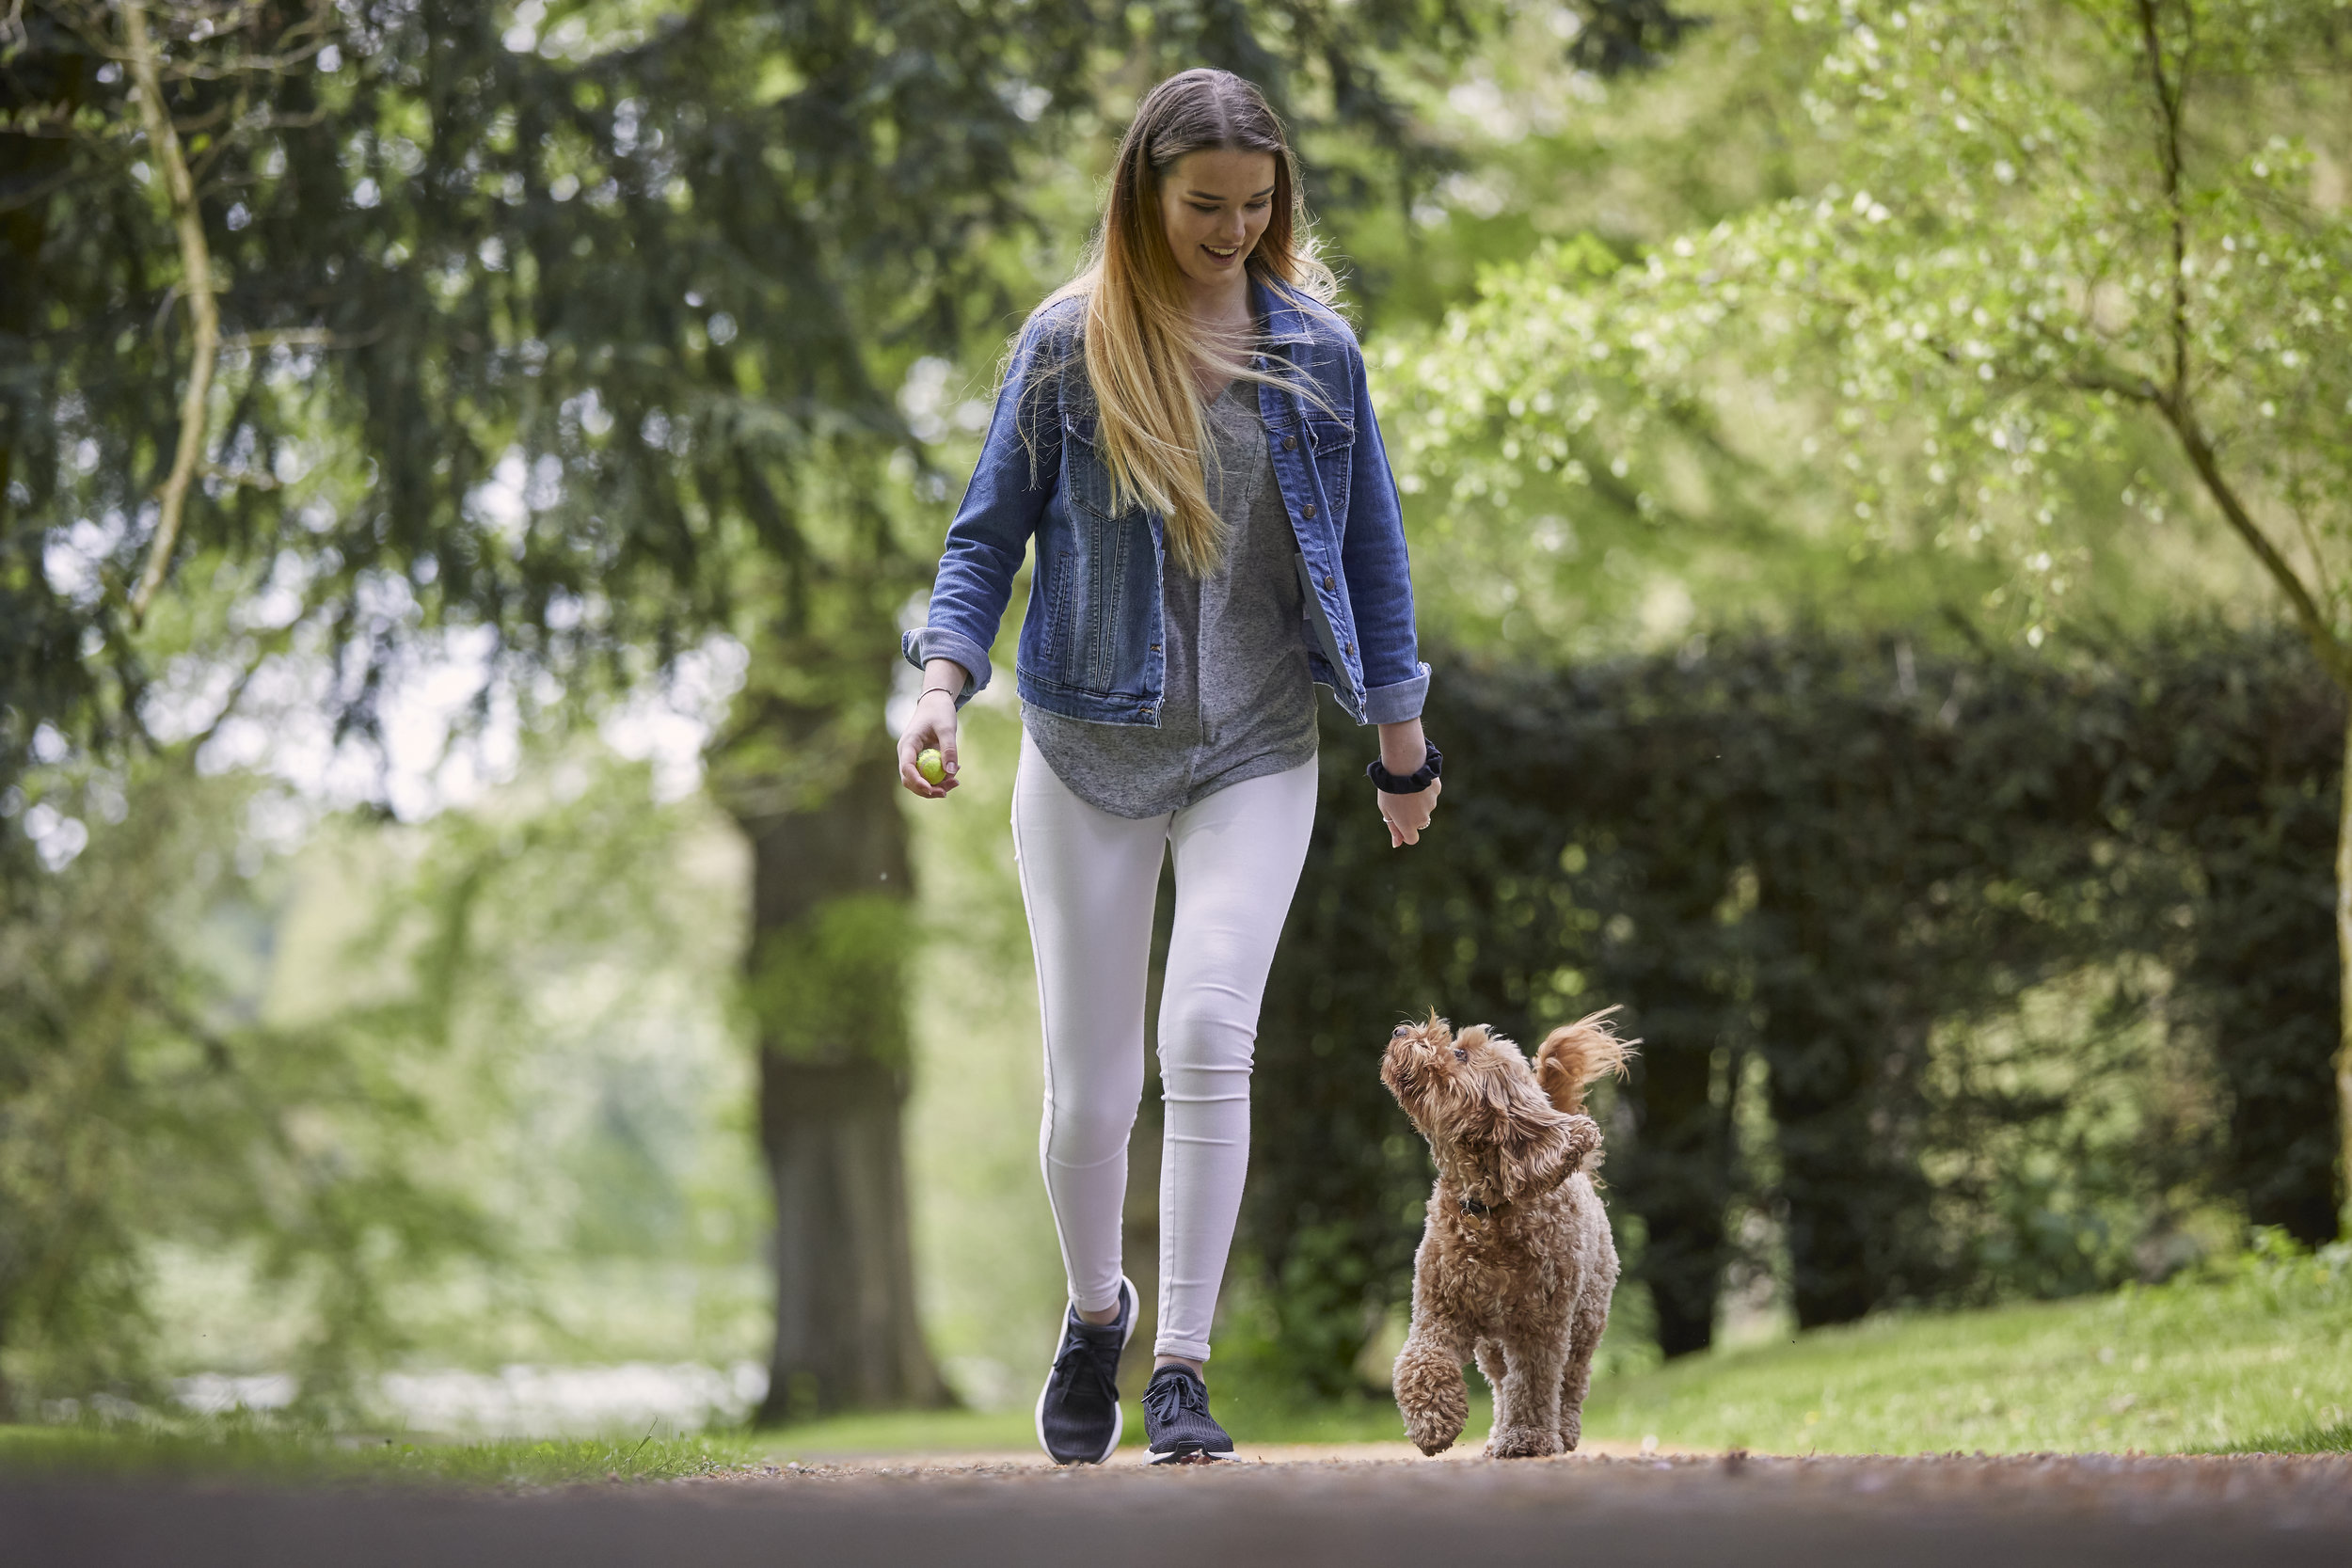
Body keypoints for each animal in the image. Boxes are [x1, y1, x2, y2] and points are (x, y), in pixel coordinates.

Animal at [1374, 1006, 1637, 1457]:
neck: (1483, 1207)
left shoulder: (1540, 1326)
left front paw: (1528, 1437)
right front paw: (1432, 1420)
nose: (1399, 1030)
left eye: (1460, 1054)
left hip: (1584, 1319)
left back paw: (1562, 1430)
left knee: (1571, 1379)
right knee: (1500, 1382)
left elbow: (1534, 1382)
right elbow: (1421, 1358)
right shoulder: (1439, 1308)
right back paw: (1497, 1432)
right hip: (1492, 1344)